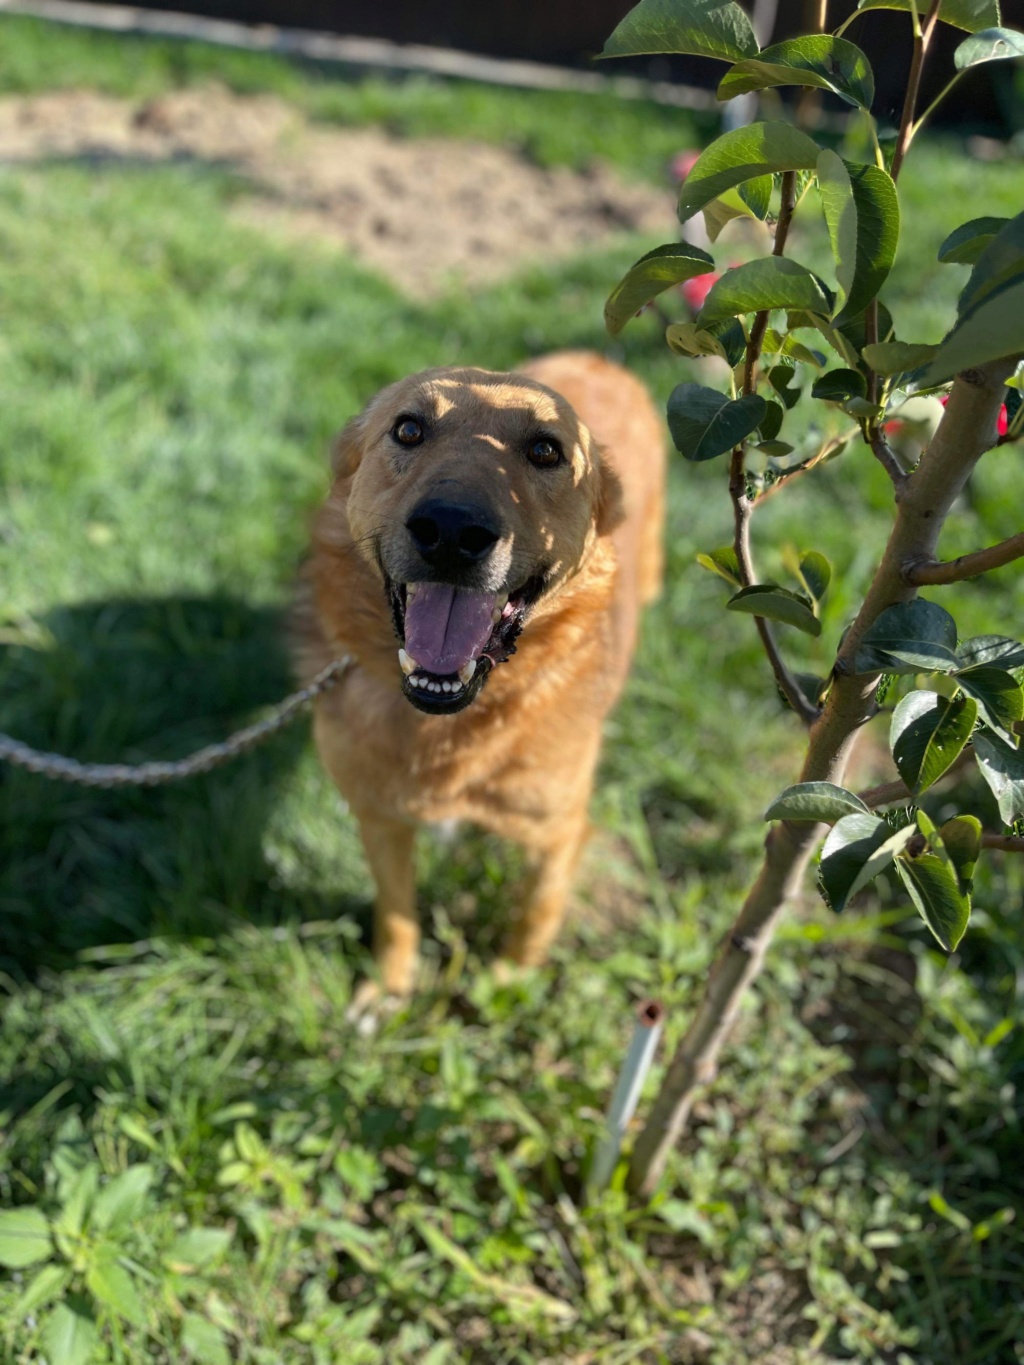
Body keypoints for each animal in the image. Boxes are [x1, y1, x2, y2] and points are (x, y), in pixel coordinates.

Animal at [292, 349, 669, 1004]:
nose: (450, 530)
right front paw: (390, 991)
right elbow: (396, 913)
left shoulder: (556, 834)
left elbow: (535, 913)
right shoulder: (379, 819)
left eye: (545, 450)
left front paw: (509, 981)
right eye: (408, 430)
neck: (447, 726)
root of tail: (597, 357)